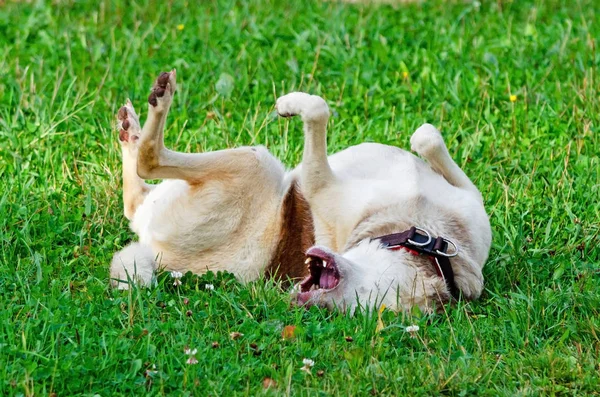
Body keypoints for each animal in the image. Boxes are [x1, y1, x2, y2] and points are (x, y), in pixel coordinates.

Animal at [110, 71, 490, 312]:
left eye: (360, 306)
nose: (301, 302)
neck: (426, 237)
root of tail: (152, 253)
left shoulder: (318, 181)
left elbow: (318, 110)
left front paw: (290, 104)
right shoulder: (470, 200)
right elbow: (427, 138)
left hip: (253, 164)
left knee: (149, 163)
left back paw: (156, 105)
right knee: (136, 191)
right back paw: (131, 125)